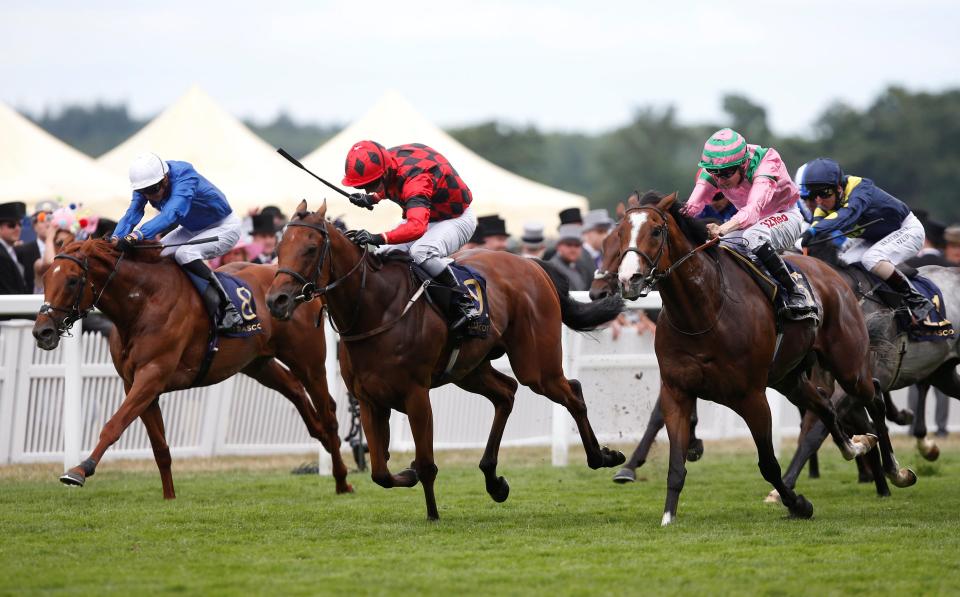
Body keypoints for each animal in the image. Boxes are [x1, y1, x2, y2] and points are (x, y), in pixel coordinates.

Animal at [30, 240, 354, 496]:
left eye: (73, 280)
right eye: (45, 277)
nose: (42, 332)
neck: (142, 304)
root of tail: (302, 285)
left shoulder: (152, 375)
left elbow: (113, 425)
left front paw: (79, 470)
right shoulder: (137, 383)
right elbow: (160, 448)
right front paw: (169, 497)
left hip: (308, 361)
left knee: (328, 411)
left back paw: (342, 478)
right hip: (257, 364)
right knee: (297, 393)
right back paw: (325, 444)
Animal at [266, 200, 628, 516]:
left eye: (310, 249)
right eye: (280, 248)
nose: (275, 300)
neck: (376, 308)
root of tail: (529, 262)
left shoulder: (415, 394)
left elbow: (427, 464)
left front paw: (432, 513)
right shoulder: (368, 399)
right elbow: (380, 472)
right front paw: (408, 473)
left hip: (536, 366)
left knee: (572, 391)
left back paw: (602, 457)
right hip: (469, 370)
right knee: (507, 393)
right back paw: (494, 480)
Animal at [592, 193, 892, 524]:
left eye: (656, 231)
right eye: (620, 233)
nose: (628, 279)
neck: (704, 314)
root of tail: (831, 273)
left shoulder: (752, 397)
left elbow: (769, 464)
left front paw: (798, 504)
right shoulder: (677, 392)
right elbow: (676, 465)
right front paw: (668, 516)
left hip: (849, 365)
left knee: (874, 394)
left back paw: (896, 471)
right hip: (789, 379)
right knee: (826, 405)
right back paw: (856, 446)